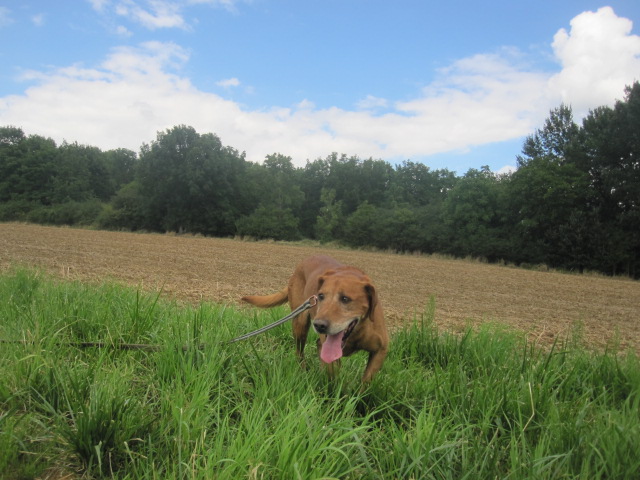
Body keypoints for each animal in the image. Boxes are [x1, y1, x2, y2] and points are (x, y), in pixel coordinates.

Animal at [241, 255, 388, 382]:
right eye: (321, 296)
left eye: (345, 299)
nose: (319, 325)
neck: (357, 332)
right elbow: (334, 383)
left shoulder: (380, 351)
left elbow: (365, 384)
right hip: (300, 324)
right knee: (299, 353)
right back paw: (303, 373)